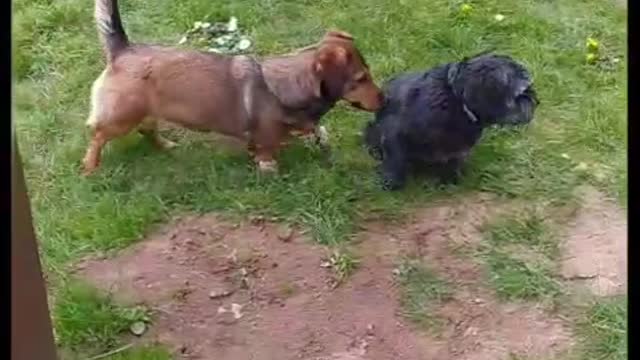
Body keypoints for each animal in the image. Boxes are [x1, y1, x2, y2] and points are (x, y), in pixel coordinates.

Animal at [82, 0, 382, 174]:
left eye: (368, 74)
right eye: (360, 79)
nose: (386, 99)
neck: (287, 85)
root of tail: (123, 49)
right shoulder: (266, 140)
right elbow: (267, 156)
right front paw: (270, 170)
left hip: (146, 111)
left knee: (147, 130)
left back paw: (166, 144)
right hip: (121, 118)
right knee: (97, 135)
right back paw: (90, 167)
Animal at [362, 52, 536, 191]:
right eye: (522, 93)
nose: (535, 101)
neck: (456, 99)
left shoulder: (458, 149)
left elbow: (453, 163)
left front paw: (449, 181)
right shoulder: (393, 133)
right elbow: (396, 160)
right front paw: (391, 182)